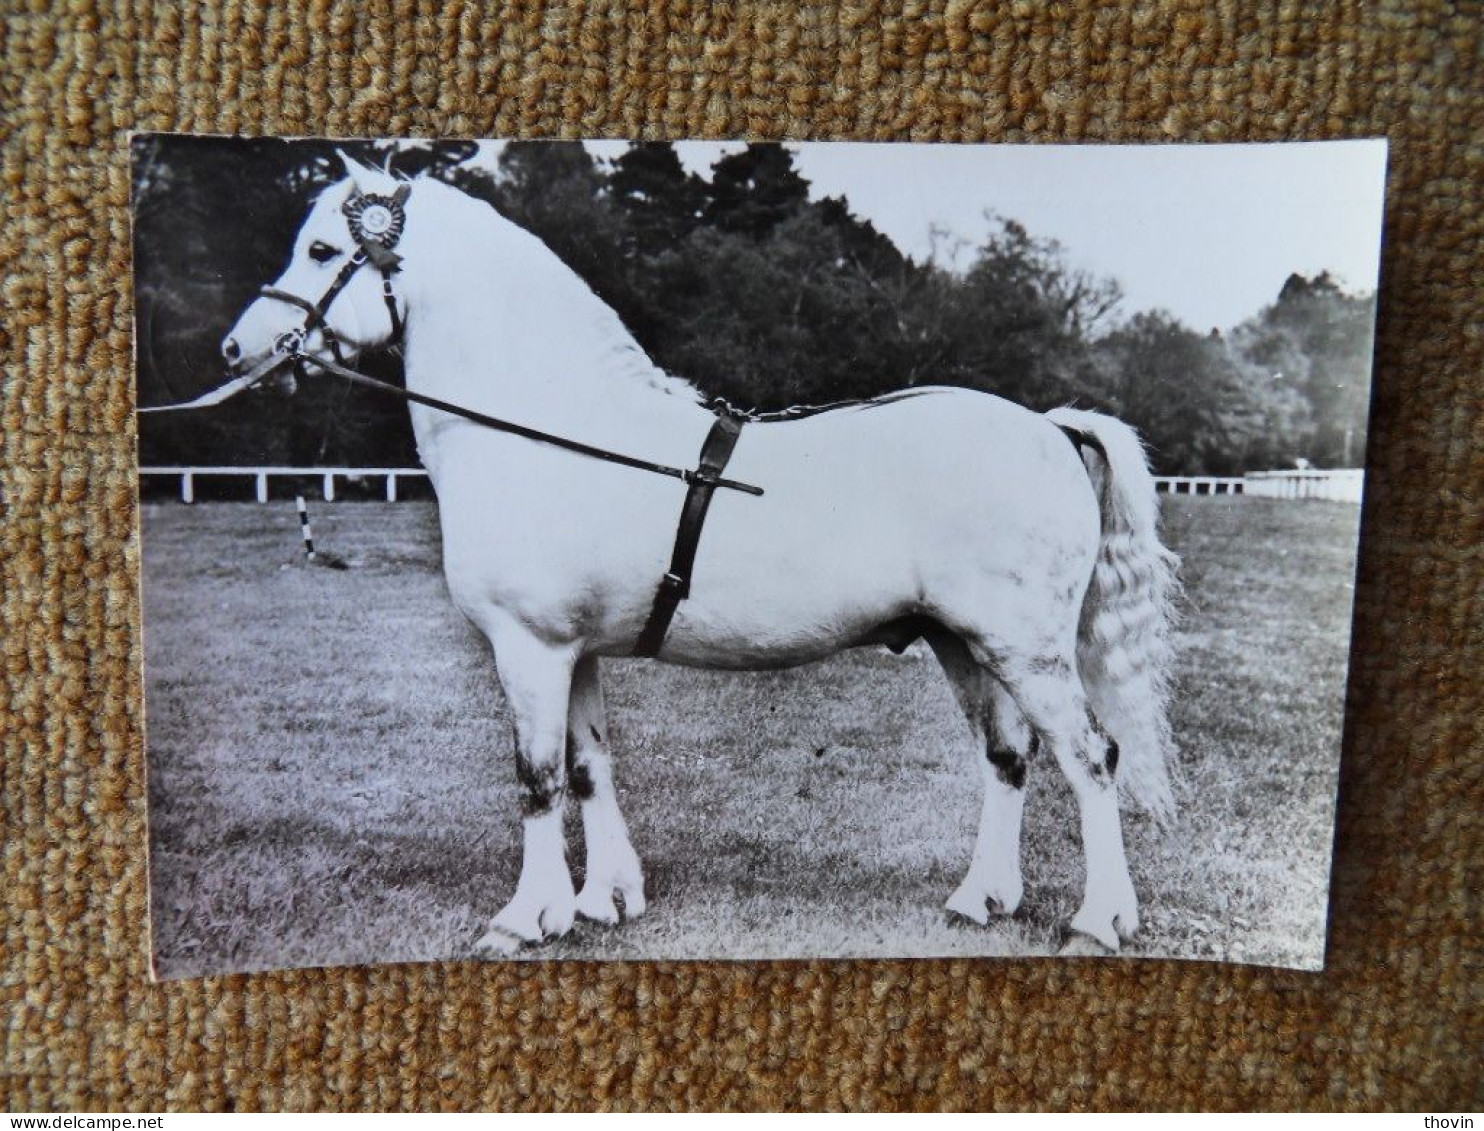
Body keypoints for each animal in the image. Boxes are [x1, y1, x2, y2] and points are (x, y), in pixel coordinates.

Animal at [219, 156, 1175, 949]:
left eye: (321, 248)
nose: (237, 348)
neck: (554, 429)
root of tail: (1049, 425)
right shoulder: (575, 652)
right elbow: (590, 766)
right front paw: (605, 899)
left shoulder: (529, 648)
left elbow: (537, 778)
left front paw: (525, 918)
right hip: (965, 644)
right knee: (1008, 758)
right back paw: (981, 898)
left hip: (1026, 649)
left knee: (1091, 758)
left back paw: (1098, 920)